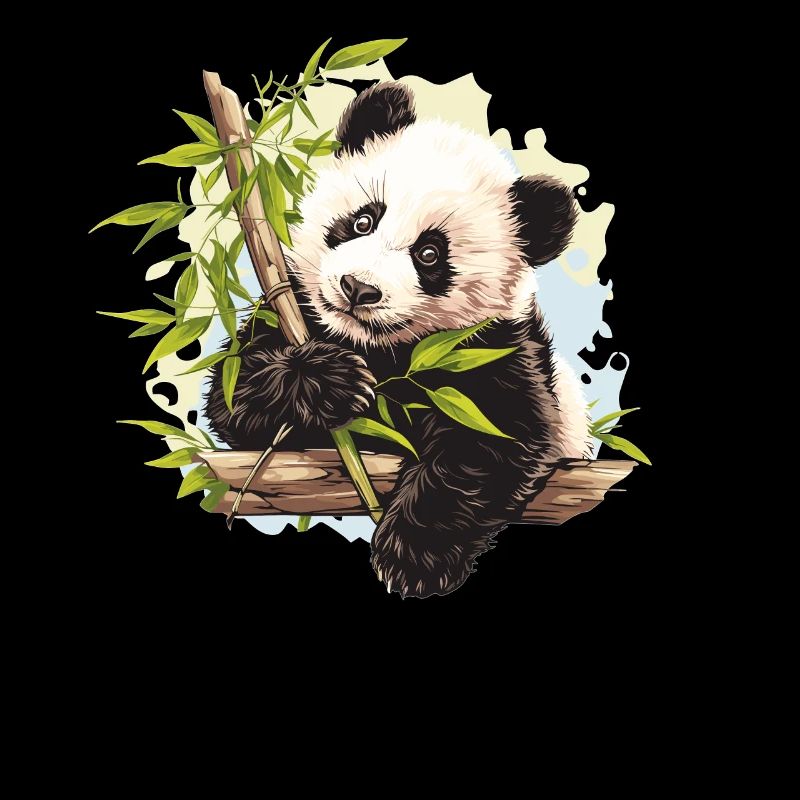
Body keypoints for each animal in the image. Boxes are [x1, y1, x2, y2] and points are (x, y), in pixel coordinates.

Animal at [206, 82, 592, 598]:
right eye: (363, 221)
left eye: (429, 254)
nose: (357, 288)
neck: (382, 349)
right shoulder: (294, 304)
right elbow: (234, 395)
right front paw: (331, 381)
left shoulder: (493, 351)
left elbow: (492, 440)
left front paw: (413, 558)